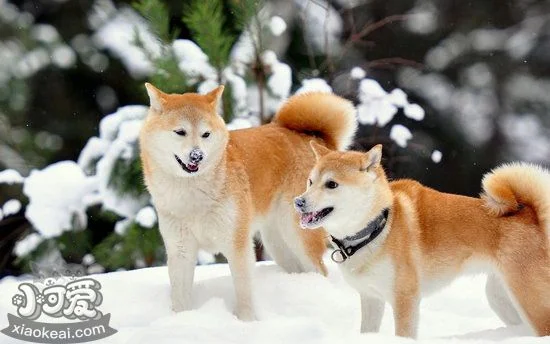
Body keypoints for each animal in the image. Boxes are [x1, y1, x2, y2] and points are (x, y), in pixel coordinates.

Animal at [296, 142, 550, 336]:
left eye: (331, 184)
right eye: (310, 181)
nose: (298, 202)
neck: (378, 227)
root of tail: (532, 216)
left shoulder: (405, 298)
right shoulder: (371, 298)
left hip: (530, 300)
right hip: (501, 298)